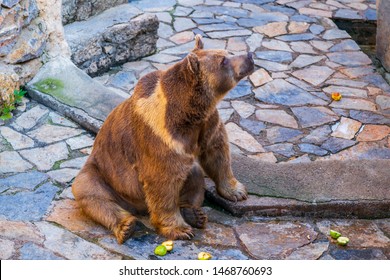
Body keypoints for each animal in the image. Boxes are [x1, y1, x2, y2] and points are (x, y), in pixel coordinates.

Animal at [72, 35, 256, 244]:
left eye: (227, 52)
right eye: (223, 61)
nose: (249, 56)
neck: (188, 114)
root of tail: (137, 206)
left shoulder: (208, 123)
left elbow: (217, 153)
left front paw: (237, 191)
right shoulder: (160, 137)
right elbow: (163, 182)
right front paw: (179, 229)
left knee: (194, 174)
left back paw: (194, 214)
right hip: (102, 173)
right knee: (92, 194)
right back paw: (126, 226)